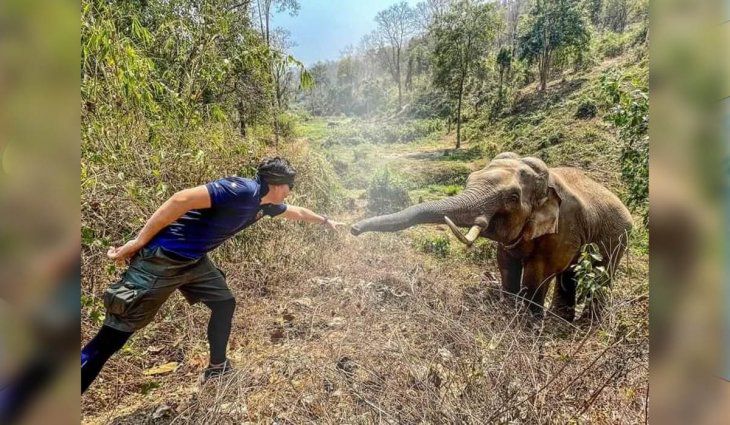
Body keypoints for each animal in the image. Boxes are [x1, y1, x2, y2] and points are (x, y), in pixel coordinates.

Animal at [351, 152, 633, 321]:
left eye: (512, 198)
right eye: (469, 179)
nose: (353, 229)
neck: (546, 181)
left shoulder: (563, 227)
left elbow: (539, 273)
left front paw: (527, 324)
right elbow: (506, 263)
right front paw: (509, 311)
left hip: (618, 237)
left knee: (600, 276)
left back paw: (583, 325)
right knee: (570, 275)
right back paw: (562, 321)